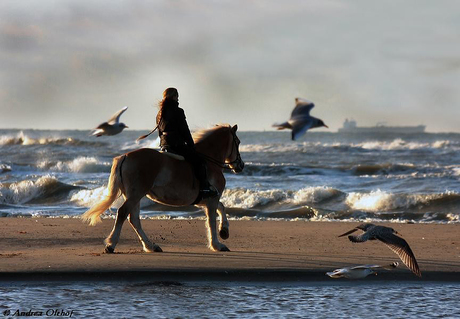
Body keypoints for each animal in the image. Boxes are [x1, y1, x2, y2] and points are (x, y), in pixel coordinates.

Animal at [82, 124, 244, 254]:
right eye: (237, 142)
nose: (240, 165)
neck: (209, 160)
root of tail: (125, 157)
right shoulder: (211, 198)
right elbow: (211, 220)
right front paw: (217, 244)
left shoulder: (205, 200)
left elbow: (221, 207)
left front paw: (224, 231)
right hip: (136, 194)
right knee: (123, 213)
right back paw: (111, 245)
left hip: (134, 195)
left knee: (133, 219)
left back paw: (151, 246)